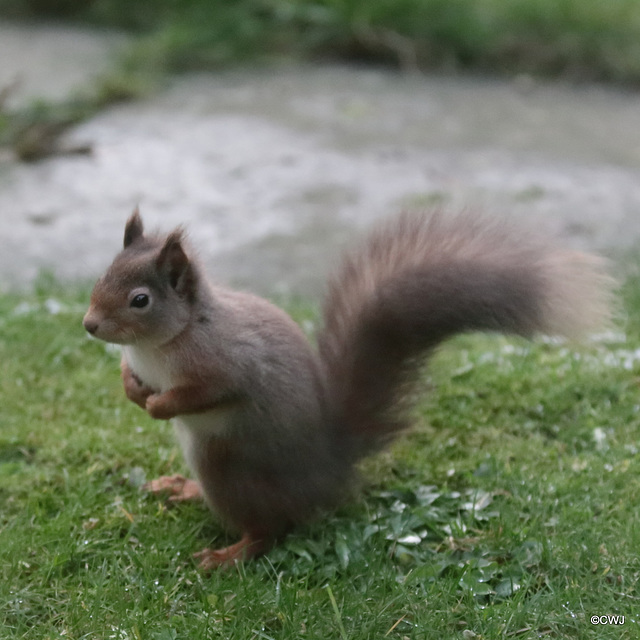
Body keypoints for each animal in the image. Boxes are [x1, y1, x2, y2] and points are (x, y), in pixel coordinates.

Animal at [82, 208, 612, 568]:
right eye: (102, 275)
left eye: (140, 300)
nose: (89, 325)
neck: (161, 343)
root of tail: (329, 470)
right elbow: (130, 377)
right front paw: (134, 392)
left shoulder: (227, 364)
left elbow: (208, 393)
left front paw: (160, 405)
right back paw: (185, 489)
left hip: (228, 466)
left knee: (268, 531)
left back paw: (228, 555)